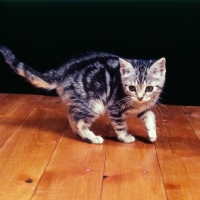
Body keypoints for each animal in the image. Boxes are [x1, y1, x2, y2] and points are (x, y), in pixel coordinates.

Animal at [0, 45, 166, 144]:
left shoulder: (142, 108)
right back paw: (91, 137)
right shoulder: (115, 108)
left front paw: (152, 133)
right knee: (79, 120)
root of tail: (63, 70)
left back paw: (79, 134)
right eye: (132, 87)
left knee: (72, 115)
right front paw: (125, 137)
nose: (140, 96)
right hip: (93, 103)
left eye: (149, 88)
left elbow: (150, 115)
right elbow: (120, 125)